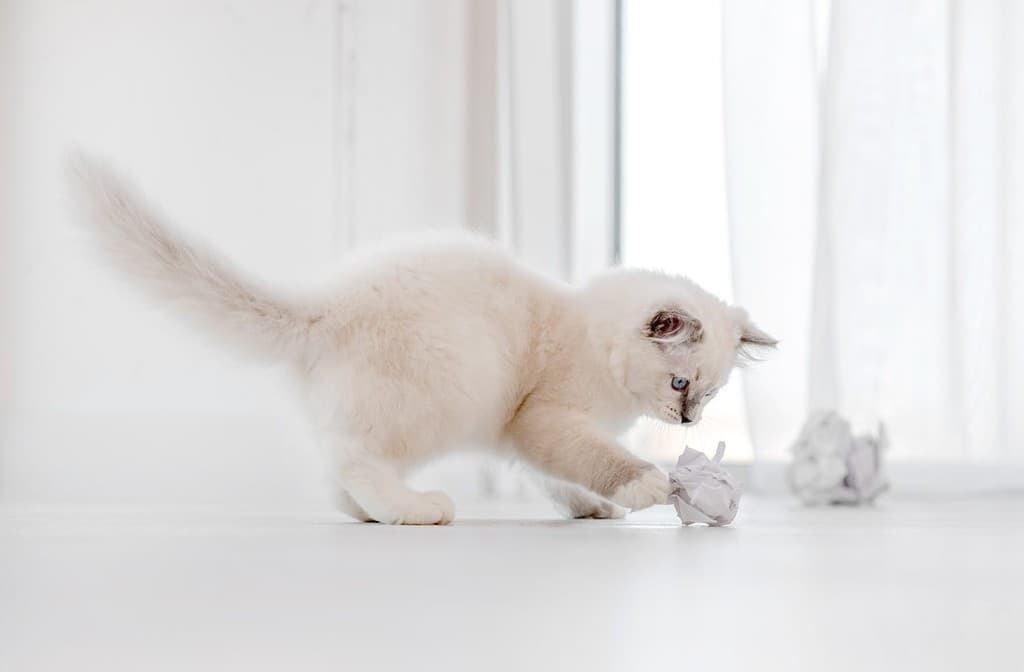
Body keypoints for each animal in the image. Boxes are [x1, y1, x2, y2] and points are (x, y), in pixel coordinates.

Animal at [72, 155, 774, 524]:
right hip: (449, 391)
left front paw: (590, 508)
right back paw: (416, 508)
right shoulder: (546, 418)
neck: (586, 330)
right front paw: (645, 487)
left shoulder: (521, 435)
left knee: (341, 476)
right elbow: (596, 457)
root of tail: (324, 307)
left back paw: (376, 512)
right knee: (352, 460)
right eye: (680, 384)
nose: (688, 421)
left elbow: (555, 477)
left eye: (709, 396)